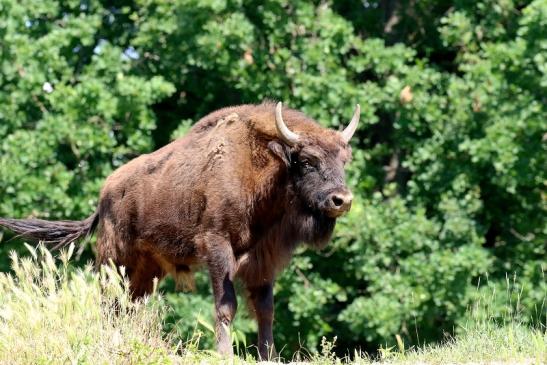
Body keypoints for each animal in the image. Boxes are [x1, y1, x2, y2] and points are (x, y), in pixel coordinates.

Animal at [0, 101, 360, 356]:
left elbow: (265, 310)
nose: (341, 200)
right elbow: (226, 304)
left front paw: (267, 356)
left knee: (129, 305)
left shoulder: (263, 260)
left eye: (344, 160)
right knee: (109, 303)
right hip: (113, 259)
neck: (263, 169)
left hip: (147, 270)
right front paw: (224, 354)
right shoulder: (217, 246)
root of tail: (105, 194)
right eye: (307, 161)